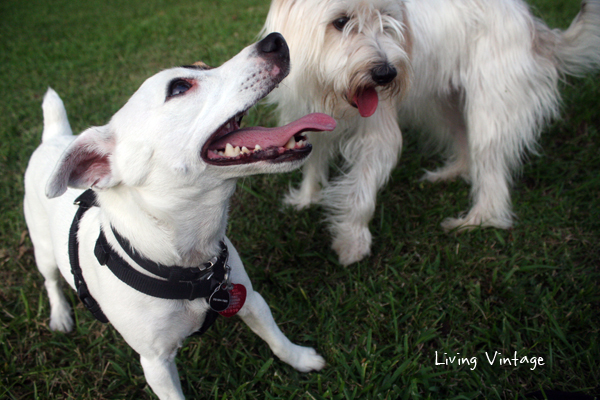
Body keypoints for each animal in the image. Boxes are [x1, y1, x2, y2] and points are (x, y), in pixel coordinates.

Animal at [23, 32, 336, 398]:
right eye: (179, 87)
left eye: (203, 65)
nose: (274, 40)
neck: (188, 263)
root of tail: (55, 138)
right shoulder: (155, 363)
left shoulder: (250, 299)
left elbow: (276, 339)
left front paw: (300, 358)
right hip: (44, 251)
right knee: (50, 281)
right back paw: (60, 315)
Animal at [262, 0, 600, 266]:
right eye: (341, 21)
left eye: (388, 18)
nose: (386, 74)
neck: (329, 91)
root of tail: (531, 23)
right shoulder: (305, 118)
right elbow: (312, 164)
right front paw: (306, 199)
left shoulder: (378, 136)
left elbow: (360, 193)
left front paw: (352, 242)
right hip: (444, 104)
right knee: (463, 144)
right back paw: (449, 174)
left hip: (489, 110)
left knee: (490, 173)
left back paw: (477, 221)